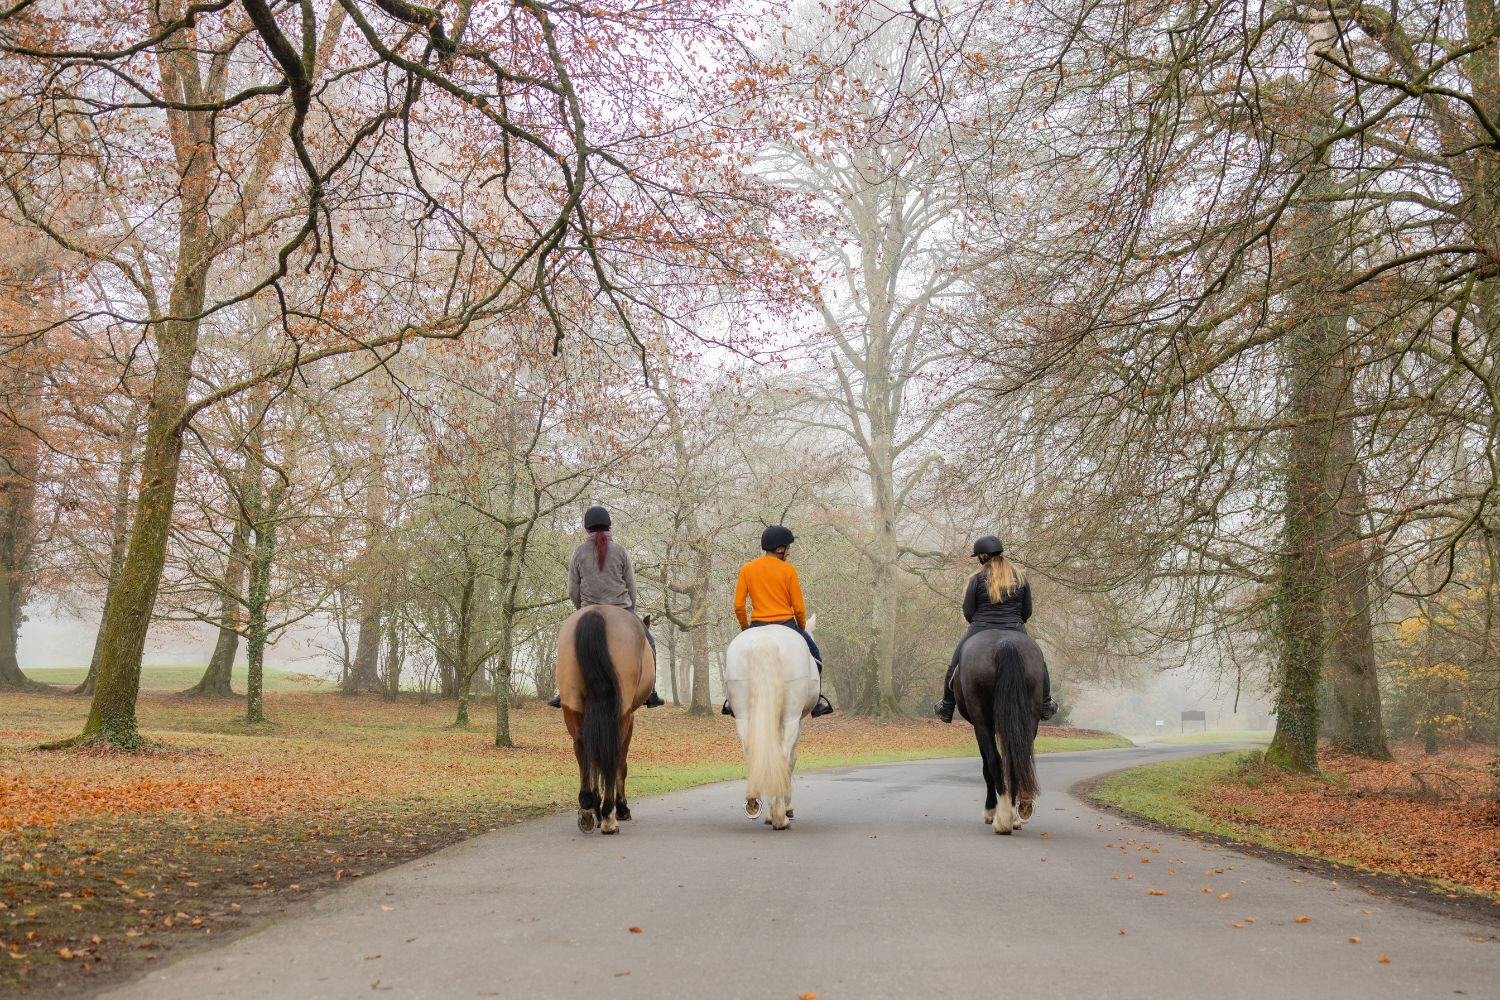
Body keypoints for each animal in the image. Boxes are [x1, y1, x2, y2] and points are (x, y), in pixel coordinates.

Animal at [555, 605, 654, 833]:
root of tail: (596, 612)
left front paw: (595, 805)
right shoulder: (629, 717)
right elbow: (621, 765)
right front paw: (621, 808)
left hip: (572, 707)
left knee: (583, 748)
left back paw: (587, 808)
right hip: (621, 713)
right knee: (613, 755)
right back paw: (609, 815)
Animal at [723, 617, 822, 827]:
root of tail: (764, 640)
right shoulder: (797, 721)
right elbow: (791, 759)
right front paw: (784, 808)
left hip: (744, 716)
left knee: (753, 753)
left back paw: (755, 803)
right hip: (791, 717)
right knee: (784, 756)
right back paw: (780, 817)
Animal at [954, 629, 1050, 833]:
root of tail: (1006, 644)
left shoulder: (981, 727)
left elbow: (987, 766)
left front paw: (990, 811)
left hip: (982, 722)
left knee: (993, 761)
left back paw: (1002, 818)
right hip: (1029, 720)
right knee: (1016, 760)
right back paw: (1016, 812)